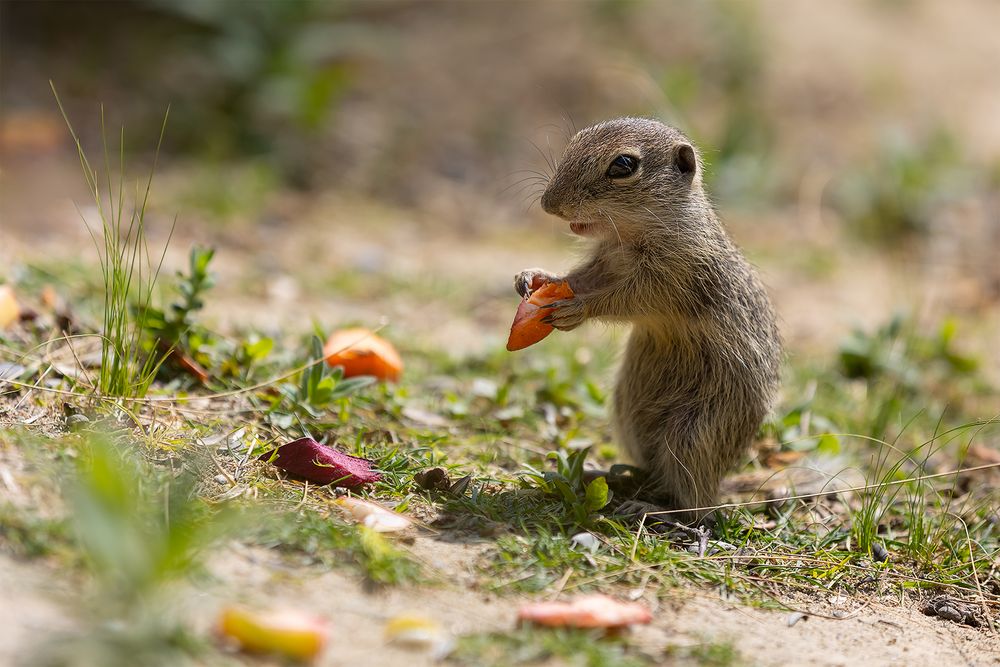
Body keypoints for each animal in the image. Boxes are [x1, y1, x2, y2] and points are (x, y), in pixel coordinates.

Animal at [516, 118, 780, 528]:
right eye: (576, 139)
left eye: (623, 165)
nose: (548, 204)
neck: (631, 234)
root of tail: (723, 483)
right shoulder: (606, 261)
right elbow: (580, 278)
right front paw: (535, 276)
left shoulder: (669, 277)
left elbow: (624, 299)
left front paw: (579, 308)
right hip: (628, 418)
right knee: (655, 474)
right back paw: (602, 475)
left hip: (693, 436)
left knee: (696, 507)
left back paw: (650, 508)